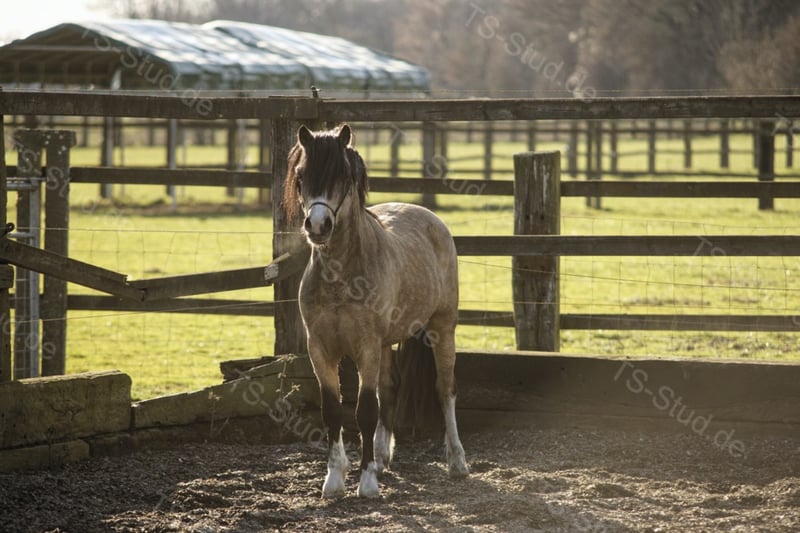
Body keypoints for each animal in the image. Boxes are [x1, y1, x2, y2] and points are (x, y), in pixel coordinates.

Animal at [283, 123, 469, 499]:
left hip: (442, 328)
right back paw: (383, 457)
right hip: (386, 344)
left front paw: (366, 483)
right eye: (301, 175)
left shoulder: (366, 347)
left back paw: (457, 462)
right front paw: (334, 479)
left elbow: (365, 410)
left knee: (445, 390)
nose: (318, 226)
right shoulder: (320, 349)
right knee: (390, 388)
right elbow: (333, 411)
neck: (341, 278)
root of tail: (431, 219)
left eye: (342, 175)